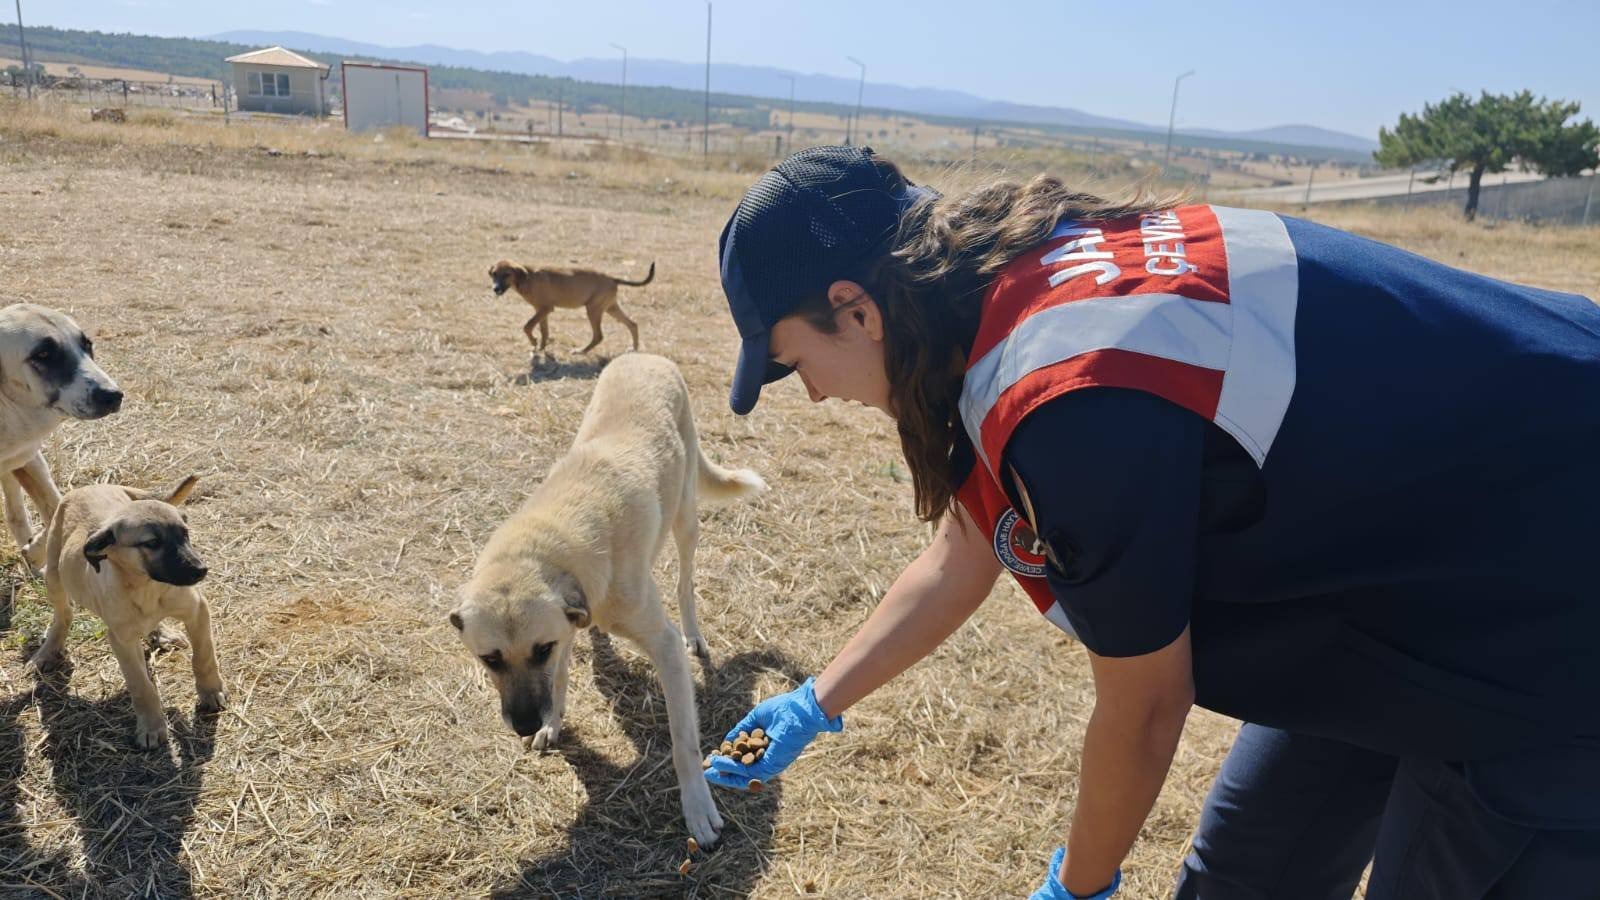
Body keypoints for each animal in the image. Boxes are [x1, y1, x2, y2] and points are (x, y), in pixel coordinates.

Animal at [0, 301, 123, 566]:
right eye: (43, 354)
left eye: (87, 344)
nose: (113, 395)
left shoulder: (28, 457)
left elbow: (58, 507)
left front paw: (34, 550)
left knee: (15, 513)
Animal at [451, 353, 768, 845]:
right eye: (490, 660)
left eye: (539, 649)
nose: (524, 724)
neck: (552, 541)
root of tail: (646, 355)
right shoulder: (566, 625)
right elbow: (561, 676)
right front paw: (552, 724)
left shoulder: (662, 646)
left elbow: (684, 742)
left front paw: (698, 808)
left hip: (685, 521)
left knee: (685, 582)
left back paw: (695, 631)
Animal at [483, 256, 652, 350]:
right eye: (494, 274)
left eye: (507, 274)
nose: (495, 289)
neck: (527, 278)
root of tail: (612, 278)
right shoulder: (541, 311)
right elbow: (544, 331)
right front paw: (541, 348)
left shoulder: (545, 309)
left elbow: (527, 327)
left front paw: (534, 342)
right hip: (610, 308)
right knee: (633, 324)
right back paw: (634, 349)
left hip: (593, 310)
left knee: (598, 336)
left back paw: (580, 351)